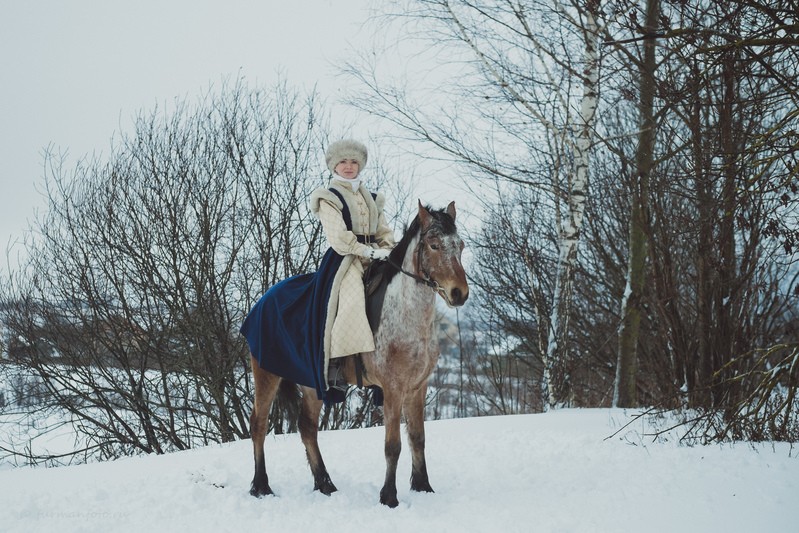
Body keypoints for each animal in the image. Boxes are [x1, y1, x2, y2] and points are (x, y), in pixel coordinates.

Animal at [248, 201, 468, 508]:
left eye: (460, 245)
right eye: (434, 245)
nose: (459, 293)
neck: (406, 315)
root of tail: (264, 300)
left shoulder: (418, 387)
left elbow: (418, 437)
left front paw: (423, 487)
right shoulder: (393, 389)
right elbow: (393, 445)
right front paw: (389, 497)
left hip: (313, 383)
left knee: (307, 427)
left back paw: (325, 484)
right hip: (266, 373)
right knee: (259, 423)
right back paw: (261, 486)